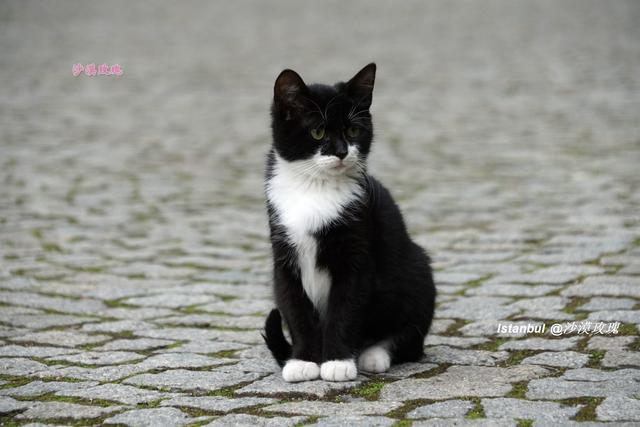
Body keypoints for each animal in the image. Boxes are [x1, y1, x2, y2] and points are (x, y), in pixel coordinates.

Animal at [260, 61, 436, 382]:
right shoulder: (283, 257)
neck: (314, 188)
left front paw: (337, 361)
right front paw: (302, 361)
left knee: (410, 338)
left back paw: (374, 354)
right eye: (317, 132)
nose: (342, 152)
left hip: (417, 270)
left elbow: (345, 309)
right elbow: (296, 311)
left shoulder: (357, 255)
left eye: (354, 130)